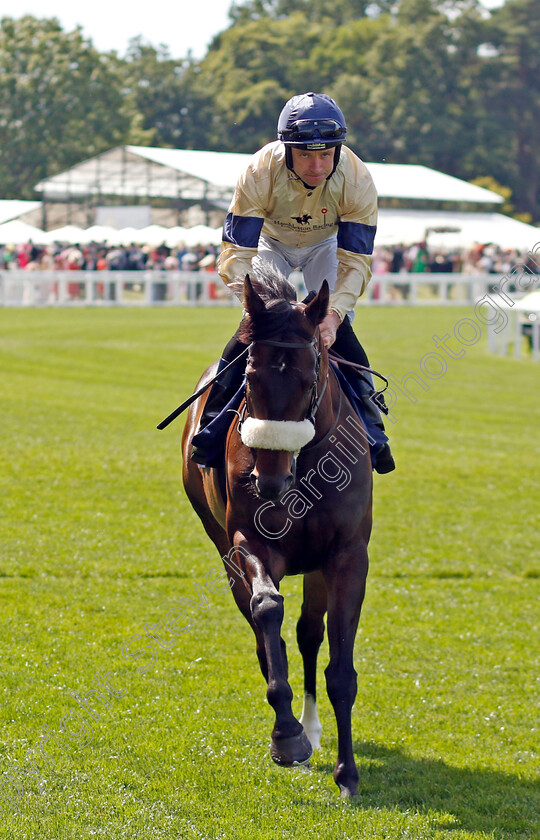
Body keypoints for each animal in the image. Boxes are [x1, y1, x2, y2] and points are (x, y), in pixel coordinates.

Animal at [180, 266, 372, 796]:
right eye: (249, 377)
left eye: (310, 379)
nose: (267, 481)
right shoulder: (248, 541)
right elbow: (266, 609)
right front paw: (286, 735)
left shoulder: (347, 555)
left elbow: (339, 668)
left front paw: (347, 774)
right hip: (220, 543)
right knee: (262, 626)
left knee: (308, 633)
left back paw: (312, 727)